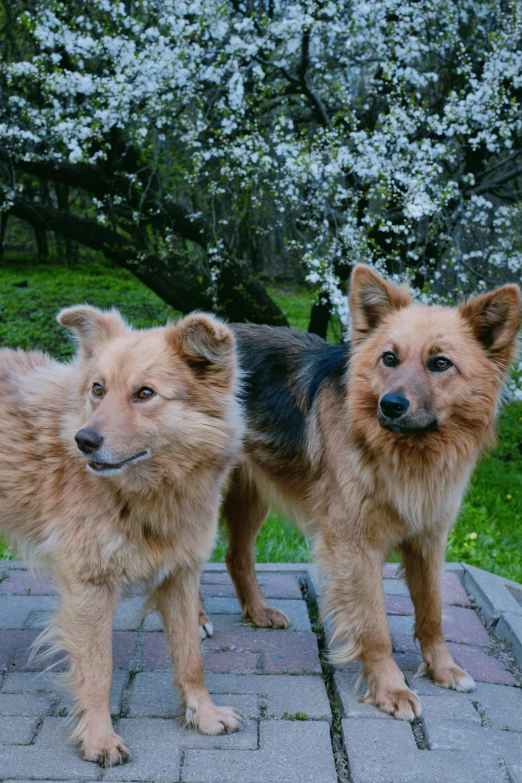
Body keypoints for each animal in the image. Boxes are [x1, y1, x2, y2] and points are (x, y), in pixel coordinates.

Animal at [0, 306, 243, 764]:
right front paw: (99, 738)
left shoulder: (180, 574)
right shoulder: (90, 585)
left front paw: (203, 714)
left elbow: (191, 657)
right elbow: (98, 672)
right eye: (98, 389)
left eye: (145, 393)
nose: (84, 441)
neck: (148, 493)